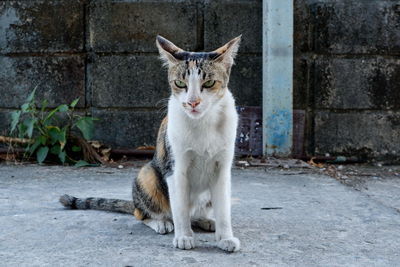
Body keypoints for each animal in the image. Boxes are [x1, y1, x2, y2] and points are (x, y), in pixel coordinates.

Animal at [59, 35, 241, 253]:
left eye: (209, 82)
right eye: (180, 83)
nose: (192, 102)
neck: (203, 123)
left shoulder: (222, 168)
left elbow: (223, 208)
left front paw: (225, 238)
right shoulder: (174, 168)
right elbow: (179, 207)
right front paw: (184, 237)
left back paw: (205, 221)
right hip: (148, 174)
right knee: (142, 212)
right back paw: (162, 222)